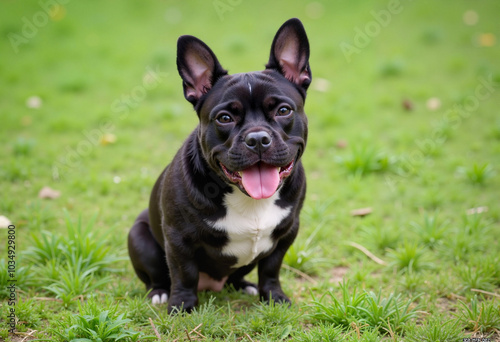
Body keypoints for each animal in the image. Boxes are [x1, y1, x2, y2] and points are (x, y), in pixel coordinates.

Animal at [127, 18, 310, 312]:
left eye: (283, 111)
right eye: (224, 118)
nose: (257, 139)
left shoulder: (286, 233)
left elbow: (271, 268)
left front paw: (273, 296)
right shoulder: (178, 238)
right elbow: (183, 272)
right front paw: (182, 306)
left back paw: (245, 286)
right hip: (139, 235)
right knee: (159, 275)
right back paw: (160, 292)